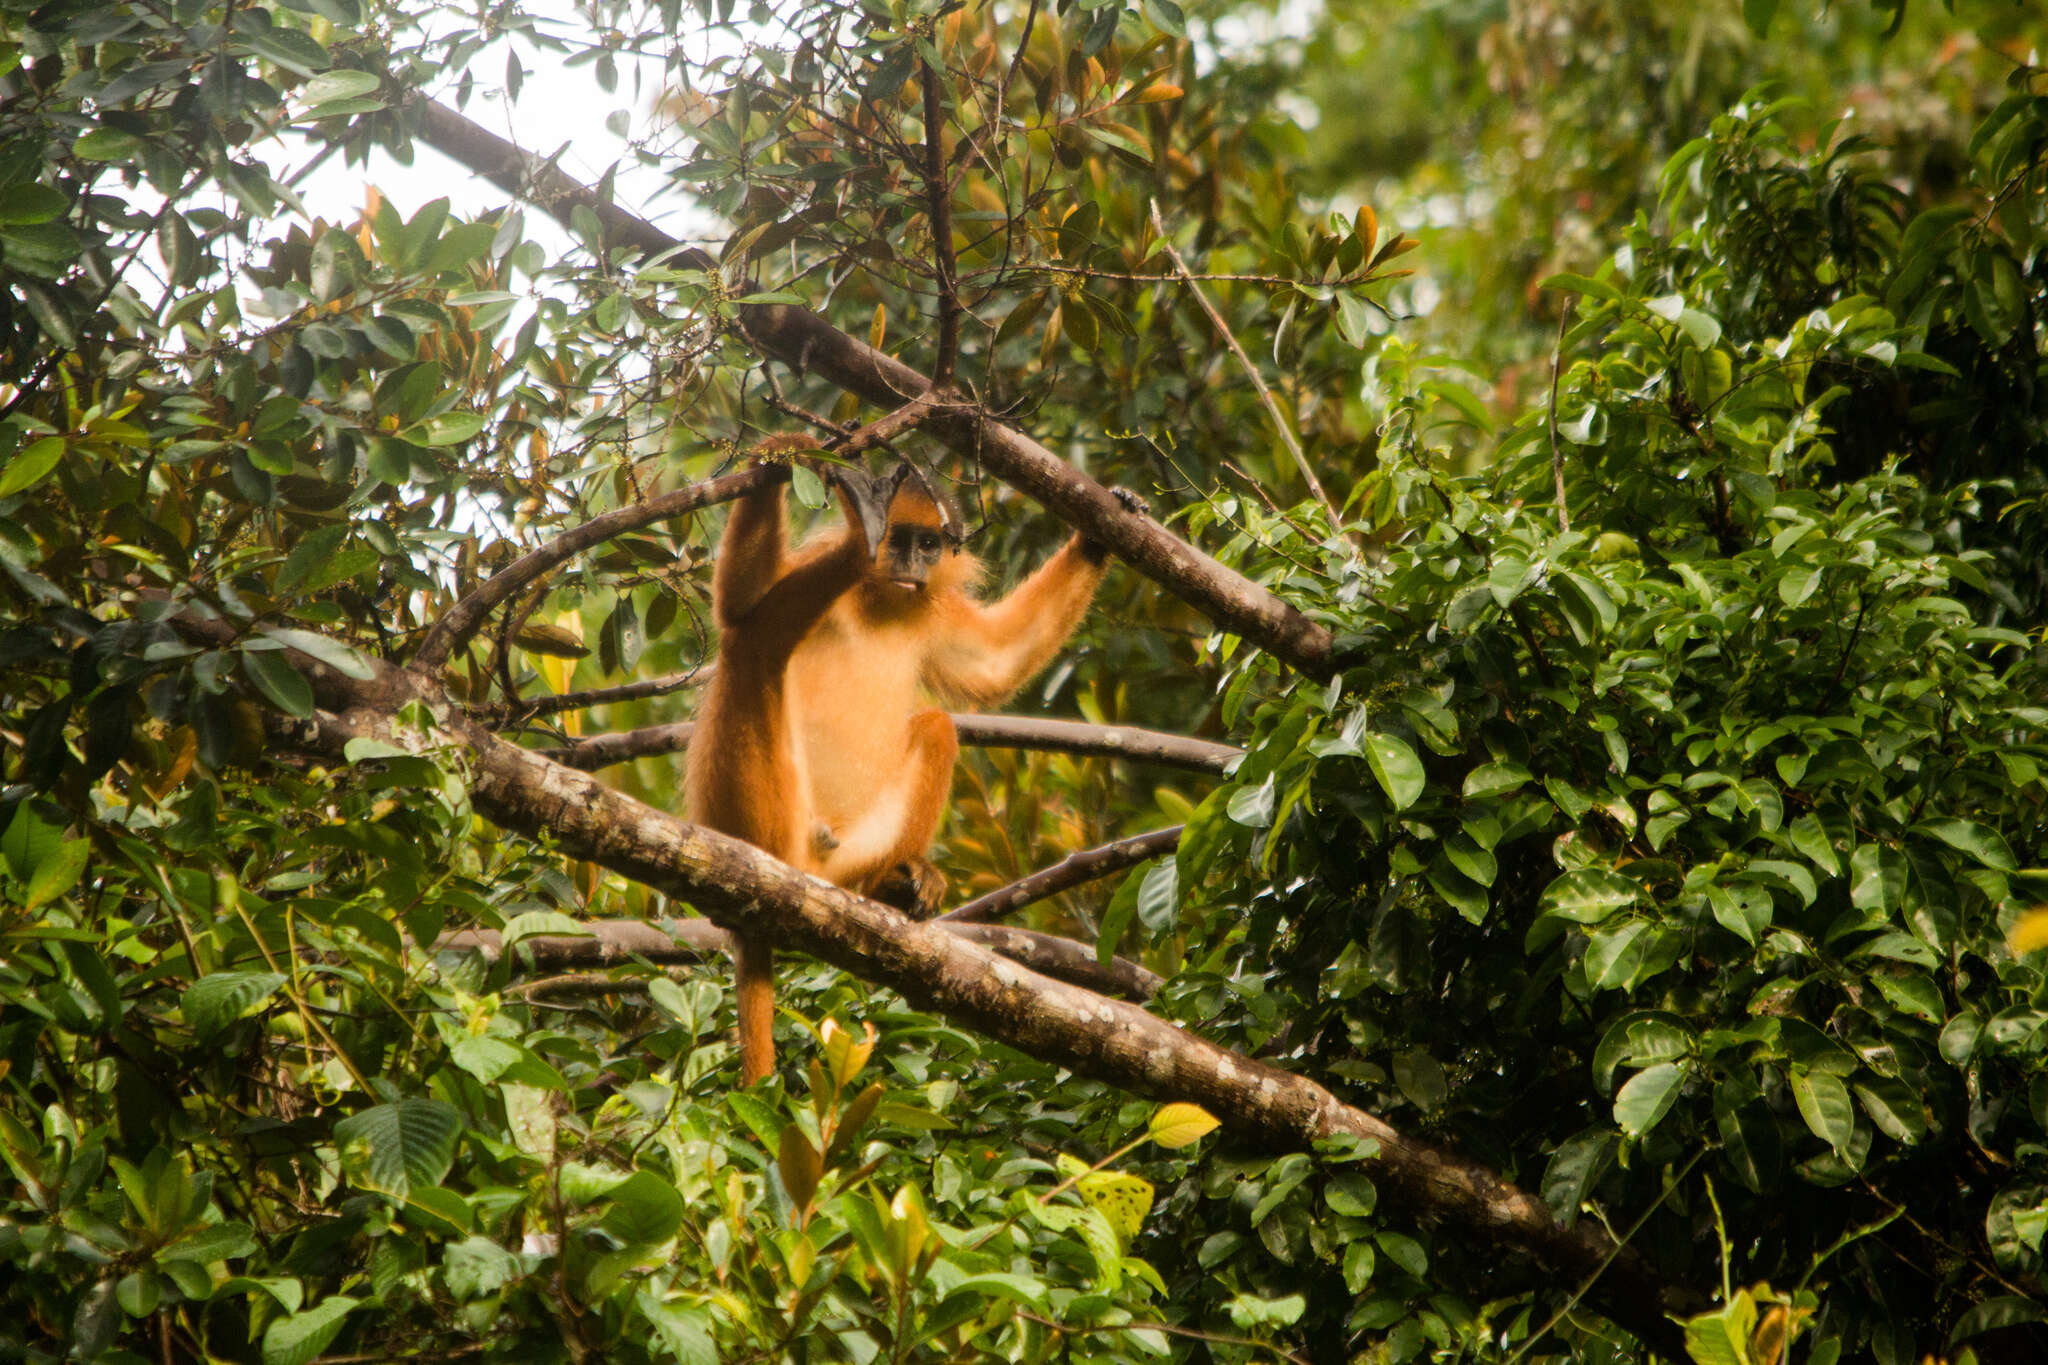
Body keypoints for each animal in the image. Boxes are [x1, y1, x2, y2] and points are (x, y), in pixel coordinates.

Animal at [688, 450, 1138, 1088]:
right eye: (902, 540)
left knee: (936, 727)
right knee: (754, 641)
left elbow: (996, 663)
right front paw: (783, 454)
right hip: (760, 810)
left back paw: (894, 884)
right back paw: (857, 541)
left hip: (841, 860)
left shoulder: (934, 612)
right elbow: (737, 603)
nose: (909, 560)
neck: (882, 604)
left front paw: (1100, 531)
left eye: (928, 544)